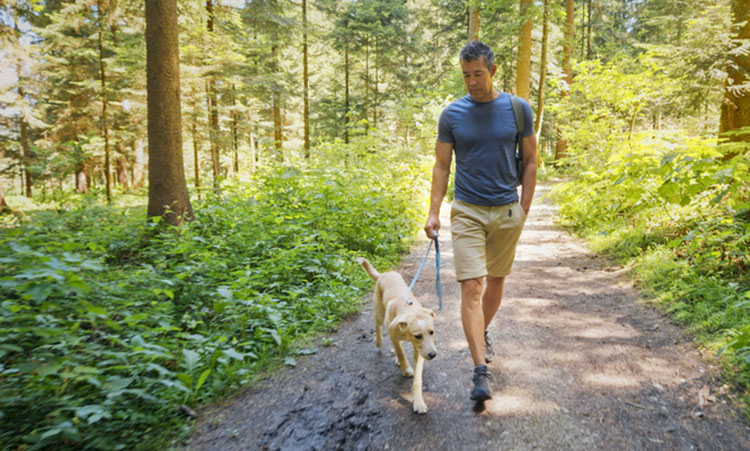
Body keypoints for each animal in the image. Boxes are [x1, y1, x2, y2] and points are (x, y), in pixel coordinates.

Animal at [356, 258, 438, 414]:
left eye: (432, 332)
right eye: (418, 336)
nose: (432, 355)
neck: (408, 309)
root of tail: (383, 274)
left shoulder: (419, 351)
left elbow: (417, 380)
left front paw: (418, 402)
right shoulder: (395, 335)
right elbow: (400, 352)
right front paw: (406, 369)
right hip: (379, 314)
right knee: (378, 326)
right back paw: (379, 341)